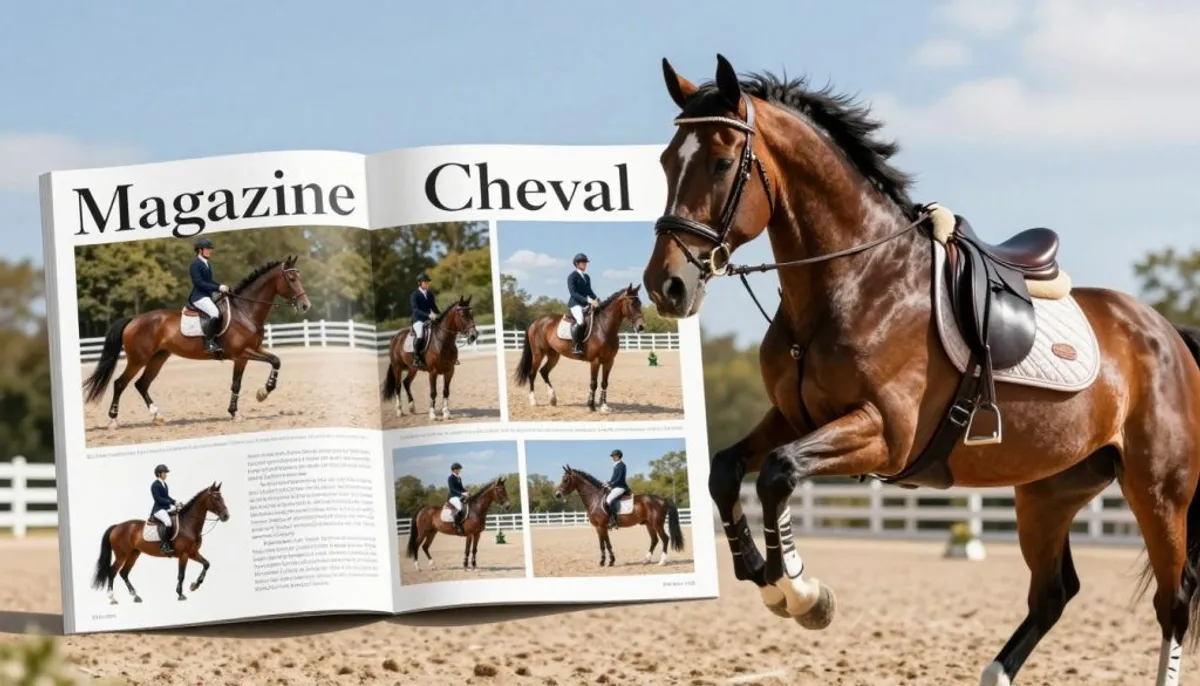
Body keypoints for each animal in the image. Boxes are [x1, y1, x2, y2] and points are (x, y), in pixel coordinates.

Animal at [81, 255, 311, 428]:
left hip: (158, 358)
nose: (305, 305)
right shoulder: (243, 352)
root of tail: (134, 319)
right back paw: (113, 420)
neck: (245, 311)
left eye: (299, 276)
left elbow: (243, 379)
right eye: (291, 278)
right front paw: (263, 393)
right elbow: (273, 361)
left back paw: (157, 415)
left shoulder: (247, 354)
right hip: (138, 359)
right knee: (121, 383)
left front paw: (236, 412)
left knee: (141, 384)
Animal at [90, 482, 230, 603]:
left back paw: (135, 596)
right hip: (122, 555)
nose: (226, 516)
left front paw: (194, 585)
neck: (188, 525)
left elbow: (206, 564)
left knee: (123, 573)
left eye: (221, 497)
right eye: (216, 498)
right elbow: (181, 575)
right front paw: (180, 594)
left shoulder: (192, 553)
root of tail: (117, 526)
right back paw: (112, 598)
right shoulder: (184, 555)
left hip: (134, 553)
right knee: (112, 572)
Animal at [512, 284, 646, 413]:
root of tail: (537, 321)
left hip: (553, 355)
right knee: (532, 374)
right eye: (632, 304)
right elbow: (593, 383)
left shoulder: (609, 361)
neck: (604, 327)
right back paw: (534, 401)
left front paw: (604, 406)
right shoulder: (595, 361)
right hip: (538, 354)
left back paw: (553, 399)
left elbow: (604, 383)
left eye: (639, 303)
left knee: (544, 372)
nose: (641, 327)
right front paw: (590, 406)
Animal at [554, 465, 684, 568]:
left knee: (665, 539)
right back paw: (646, 560)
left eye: (565, 479)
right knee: (654, 540)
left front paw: (609, 562)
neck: (595, 499)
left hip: (657, 524)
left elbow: (606, 544)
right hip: (649, 524)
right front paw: (605, 562)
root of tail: (663, 500)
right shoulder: (598, 528)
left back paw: (662, 562)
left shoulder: (601, 526)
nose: (557, 495)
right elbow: (603, 544)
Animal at [642, 54, 1200, 686]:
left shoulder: (885, 434)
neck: (853, 282)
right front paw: (768, 578)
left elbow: (778, 474)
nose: (665, 286)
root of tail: (1165, 331)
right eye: (666, 162)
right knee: (1053, 594)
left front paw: (802, 593)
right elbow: (726, 471)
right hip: (1049, 491)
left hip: (1157, 492)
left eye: (719, 163)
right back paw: (994, 673)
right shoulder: (792, 418)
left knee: (1173, 600)